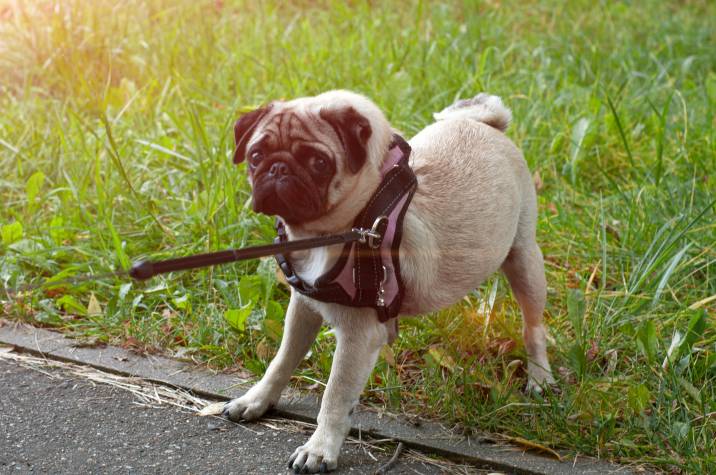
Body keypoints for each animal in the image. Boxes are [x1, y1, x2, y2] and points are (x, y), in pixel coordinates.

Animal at [224, 90, 552, 472]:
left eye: (319, 162)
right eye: (256, 156)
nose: (278, 168)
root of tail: (486, 123)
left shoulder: (356, 337)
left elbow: (335, 395)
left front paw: (320, 448)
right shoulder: (304, 308)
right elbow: (281, 360)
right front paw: (257, 399)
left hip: (524, 260)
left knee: (533, 327)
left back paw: (540, 377)